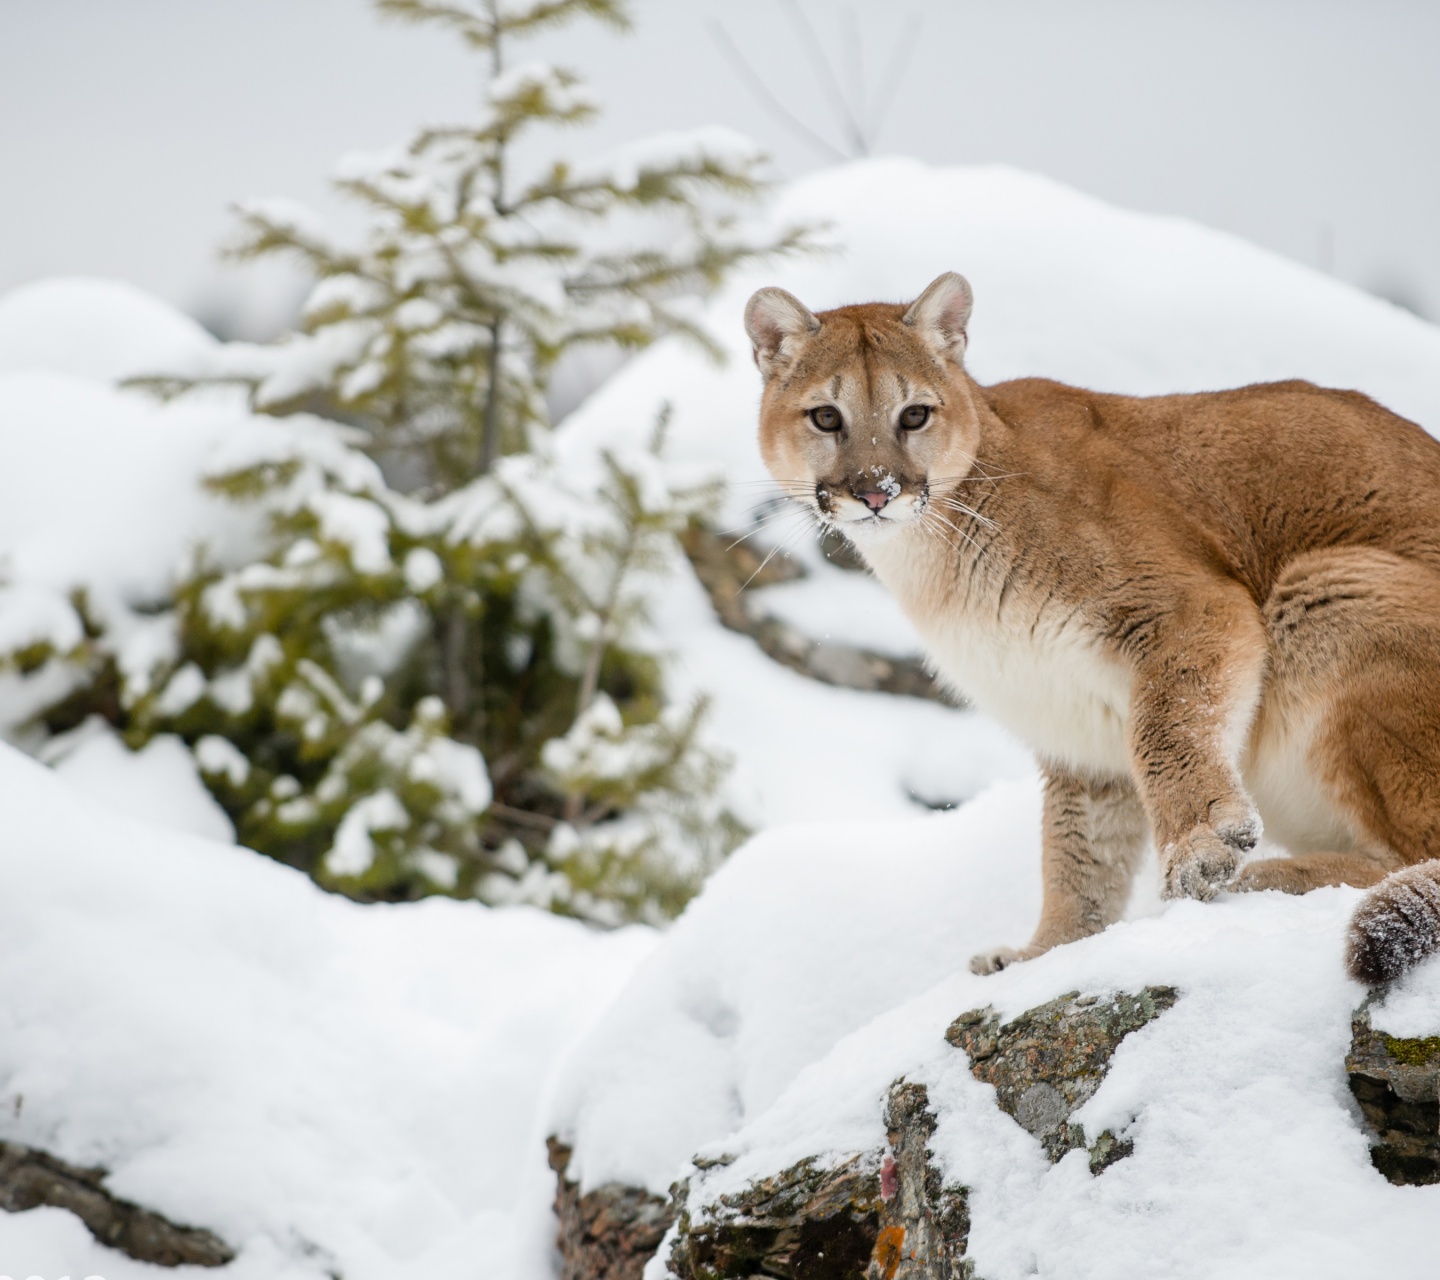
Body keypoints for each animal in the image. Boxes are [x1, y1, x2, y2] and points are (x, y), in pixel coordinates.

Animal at [748, 275, 1434, 984]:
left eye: (914, 415)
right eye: (826, 417)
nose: (876, 492)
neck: (933, 555)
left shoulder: (1189, 609)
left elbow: (1167, 731)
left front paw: (1201, 847)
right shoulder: (1075, 724)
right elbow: (1077, 852)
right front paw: (1048, 953)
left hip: (1330, 585)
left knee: (1412, 852)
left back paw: (1271, 877)